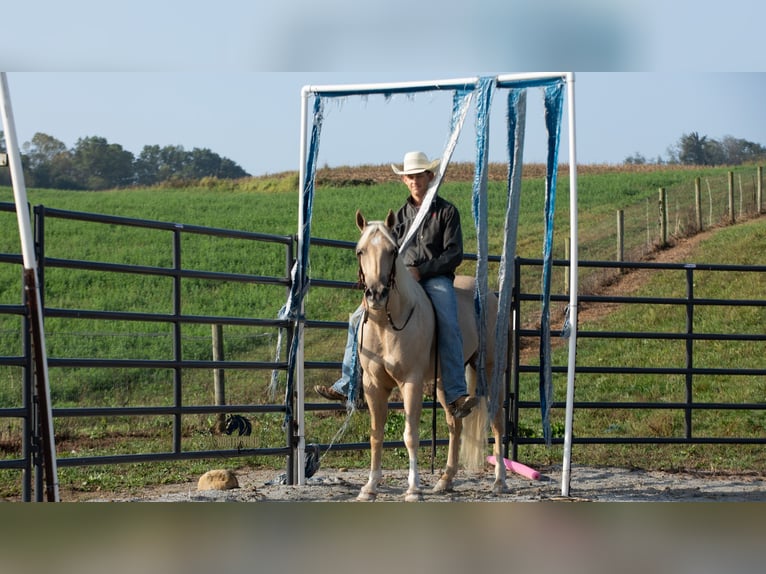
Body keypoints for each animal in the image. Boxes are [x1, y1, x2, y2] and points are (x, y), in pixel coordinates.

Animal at [353, 209, 508, 501]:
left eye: (392, 250)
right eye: (360, 251)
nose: (377, 294)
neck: (387, 324)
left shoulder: (411, 383)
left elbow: (410, 435)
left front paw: (414, 489)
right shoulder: (373, 385)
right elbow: (375, 434)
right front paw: (369, 487)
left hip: (492, 369)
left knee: (496, 420)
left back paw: (499, 481)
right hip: (443, 383)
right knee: (454, 424)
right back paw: (445, 480)